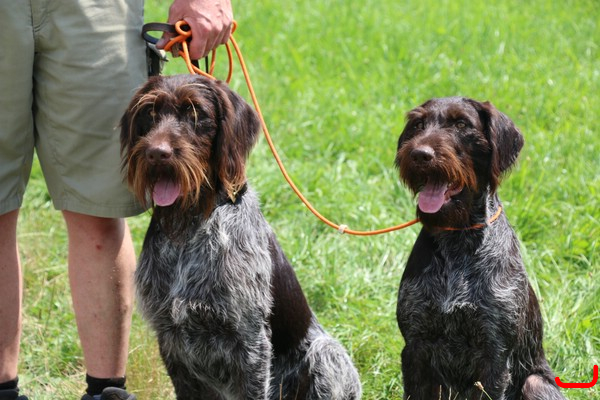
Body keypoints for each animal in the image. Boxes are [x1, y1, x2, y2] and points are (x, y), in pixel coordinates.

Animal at [120, 74, 362, 400]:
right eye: (149, 113)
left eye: (196, 113)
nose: (157, 153)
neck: (190, 223)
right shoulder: (169, 336)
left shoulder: (250, 341)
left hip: (326, 352)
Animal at [394, 97, 565, 400]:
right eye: (418, 124)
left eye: (462, 124)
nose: (419, 154)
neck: (457, 241)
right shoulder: (414, 346)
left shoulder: (494, 354)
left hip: (535, 383)